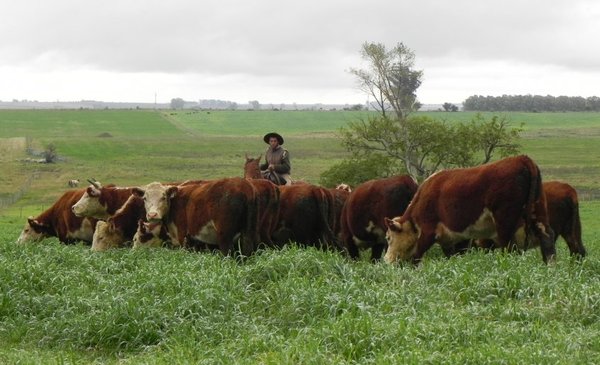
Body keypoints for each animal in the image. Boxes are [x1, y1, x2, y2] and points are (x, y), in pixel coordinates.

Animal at [384, 155, 556, 264]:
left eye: (389, 238)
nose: (387, 260)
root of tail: (523, 159)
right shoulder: (449, 239)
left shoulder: (428, 231)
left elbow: (417, 256)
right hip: (539, 211)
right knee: (547, 238)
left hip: (505, 221)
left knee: (508, 246)